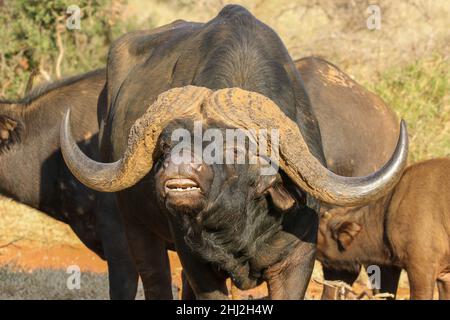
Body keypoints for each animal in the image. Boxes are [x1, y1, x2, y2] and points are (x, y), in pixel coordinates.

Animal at [59, 5, 408, 300]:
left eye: (235, 149)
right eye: (166, 143)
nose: (179, 173)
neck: (239, 225)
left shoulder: (298, 260)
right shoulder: (196, 261)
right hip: (133, 226)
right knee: (148, 277)